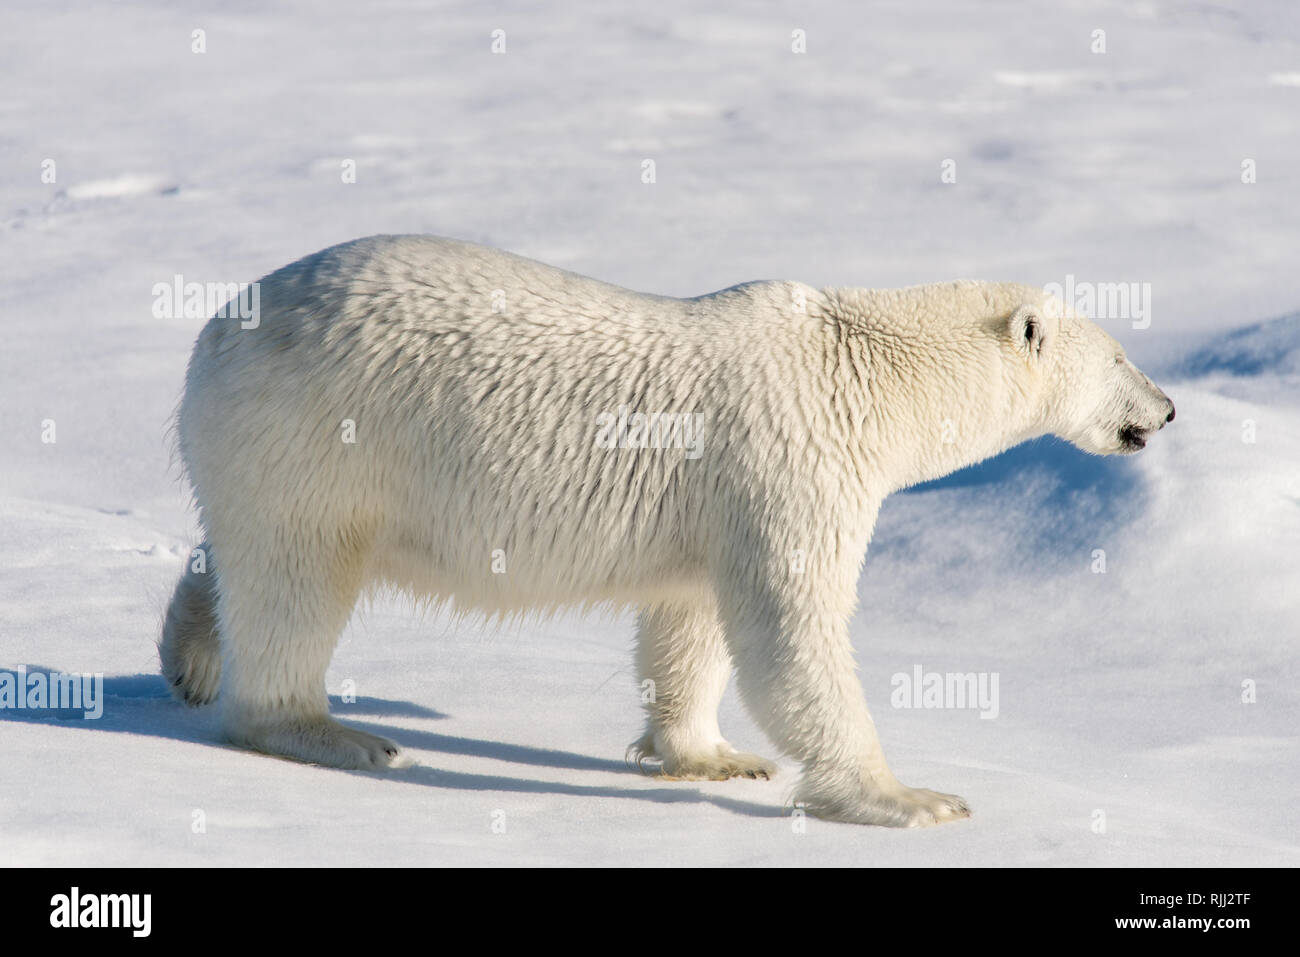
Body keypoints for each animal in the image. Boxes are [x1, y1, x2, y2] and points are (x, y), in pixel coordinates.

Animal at [157, 235, 1175, 826]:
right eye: (1122, 355)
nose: (1164, 409)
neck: (860, 368)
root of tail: (215, 330)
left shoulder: (715, 499)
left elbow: (693, 621)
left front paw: (713, 756)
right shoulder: (791, 457)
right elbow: (792, 630)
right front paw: (911, 797)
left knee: (239, 550)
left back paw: (190, 651)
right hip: (321, 432)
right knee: (297, 580)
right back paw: (328, 732)